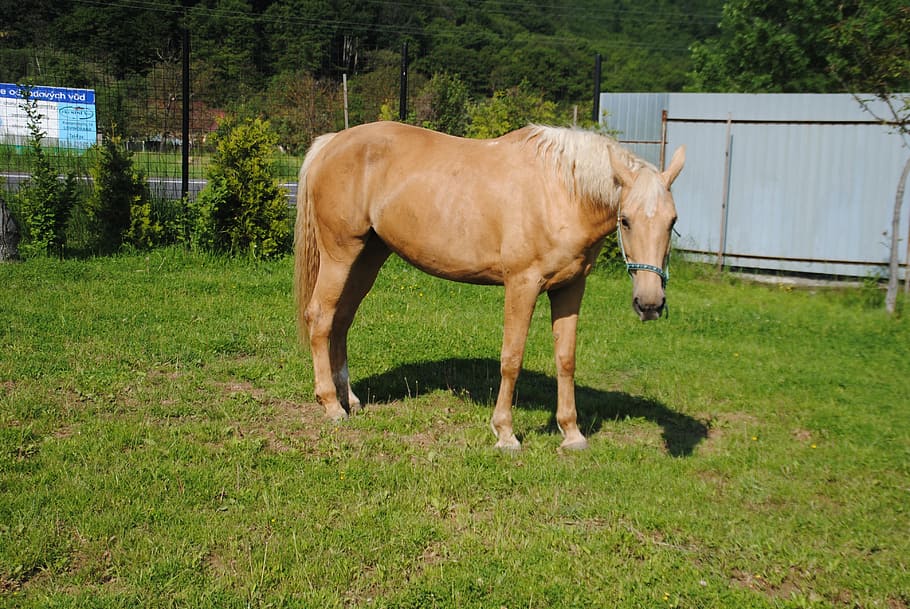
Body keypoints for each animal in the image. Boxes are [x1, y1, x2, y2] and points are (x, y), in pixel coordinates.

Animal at [295, 121, 685, 450]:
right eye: (626, 220)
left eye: (672, 221)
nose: (650, 303)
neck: (560, 192)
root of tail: (331, 143)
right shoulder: (522, 284)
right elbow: (511, 358)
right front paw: (505, 434)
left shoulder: (570, 288)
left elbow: (566, 359)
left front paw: (572, 434)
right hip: (340, 256)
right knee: (321, 317)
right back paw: (331, 406)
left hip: (367, 258)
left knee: (341, 320)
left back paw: (350, 400)